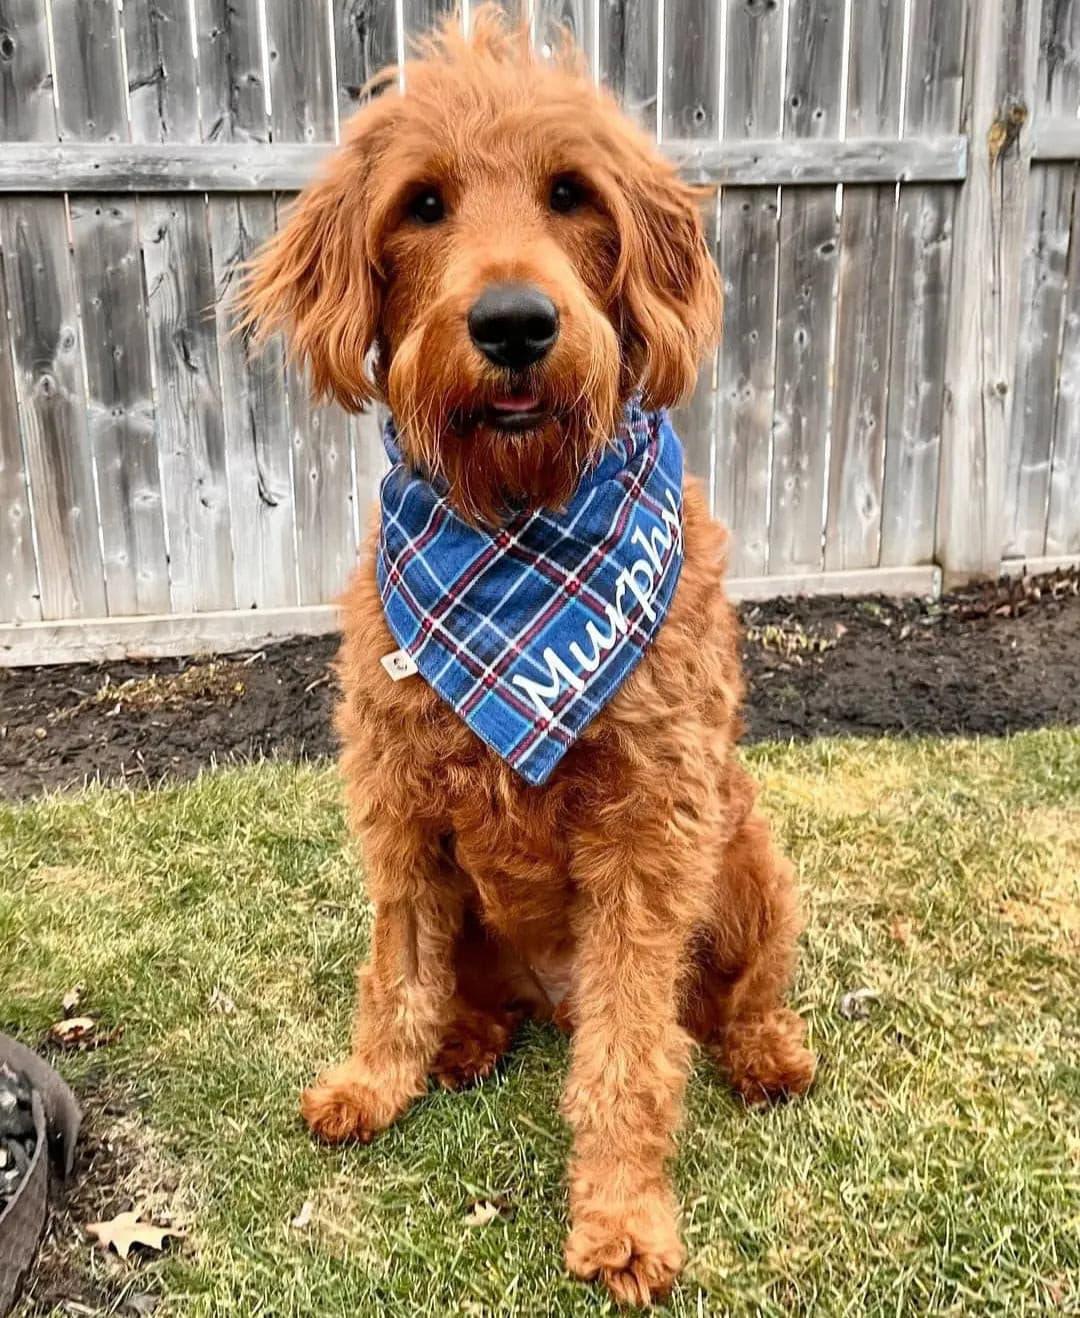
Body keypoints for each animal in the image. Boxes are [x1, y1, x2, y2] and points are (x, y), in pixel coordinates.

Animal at [241, 12, 817, 1307]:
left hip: (747, 854)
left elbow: (633, 1053)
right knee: (467, 984)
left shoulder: (653, 832)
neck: (513, 531)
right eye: (423, 204)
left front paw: (623, 1217)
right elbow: (395, 966)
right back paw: (462, 1042)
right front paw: (374, 1080)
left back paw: (766, 1049)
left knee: (740, 990)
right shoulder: (399, 802)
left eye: (571, 195)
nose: (514, 323)